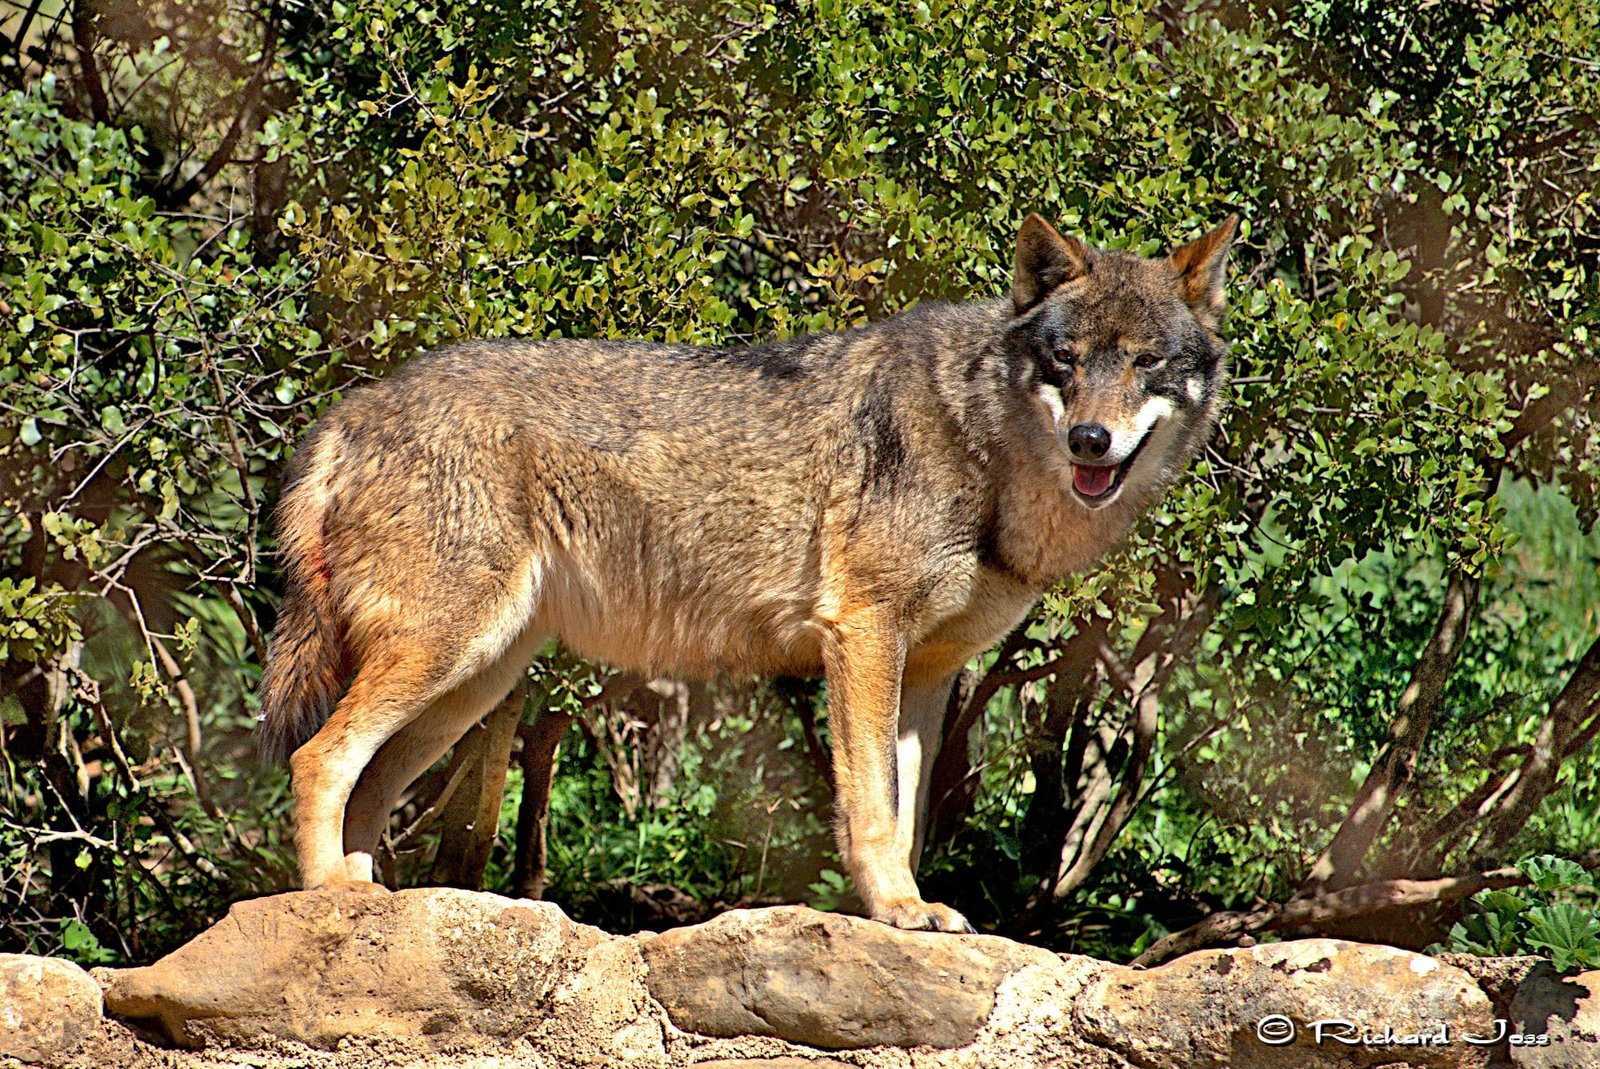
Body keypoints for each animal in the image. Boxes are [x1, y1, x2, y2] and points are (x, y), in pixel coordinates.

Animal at [257, 212, 1237, 932]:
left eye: (1146, 363)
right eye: (1065, 363)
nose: (1091, 441)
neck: (985, 442)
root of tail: (352, 407)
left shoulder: (928, 671)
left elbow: (910, 813)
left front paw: (911, 906)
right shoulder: (864, 633)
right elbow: (873, 805)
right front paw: (898, 911)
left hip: (474, 681)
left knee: (367, 785)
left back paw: (368, 900)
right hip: (448, 656)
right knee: (317, 758)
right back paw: (328, 898)